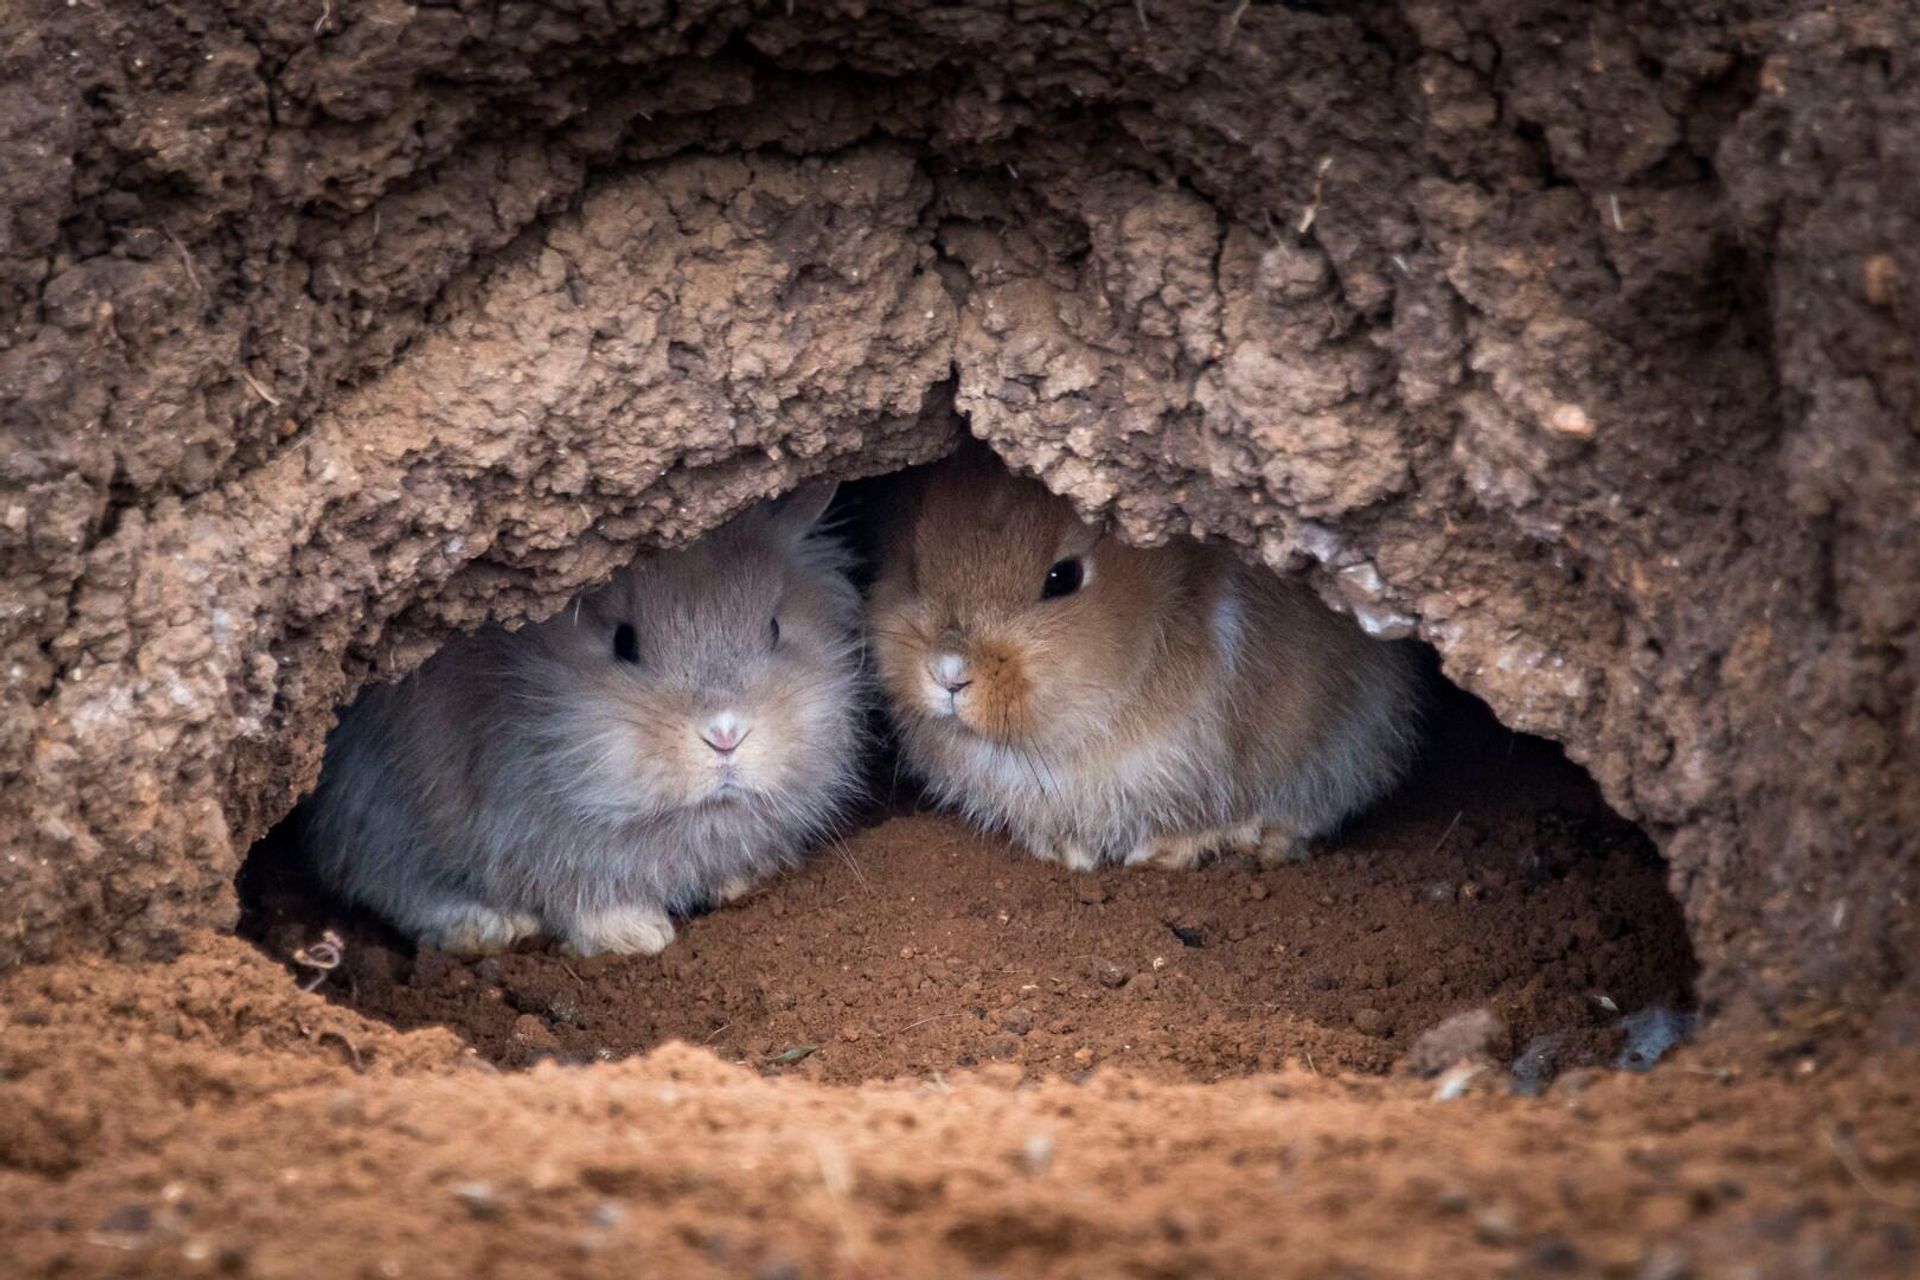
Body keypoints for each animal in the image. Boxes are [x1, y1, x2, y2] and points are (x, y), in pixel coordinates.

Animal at [303, 484, 863, 956]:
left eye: (774, 628)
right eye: (624, 642)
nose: (725, 734)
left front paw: (742, 880)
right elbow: (574, 897)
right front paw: (635, 934)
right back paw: (488, 928)